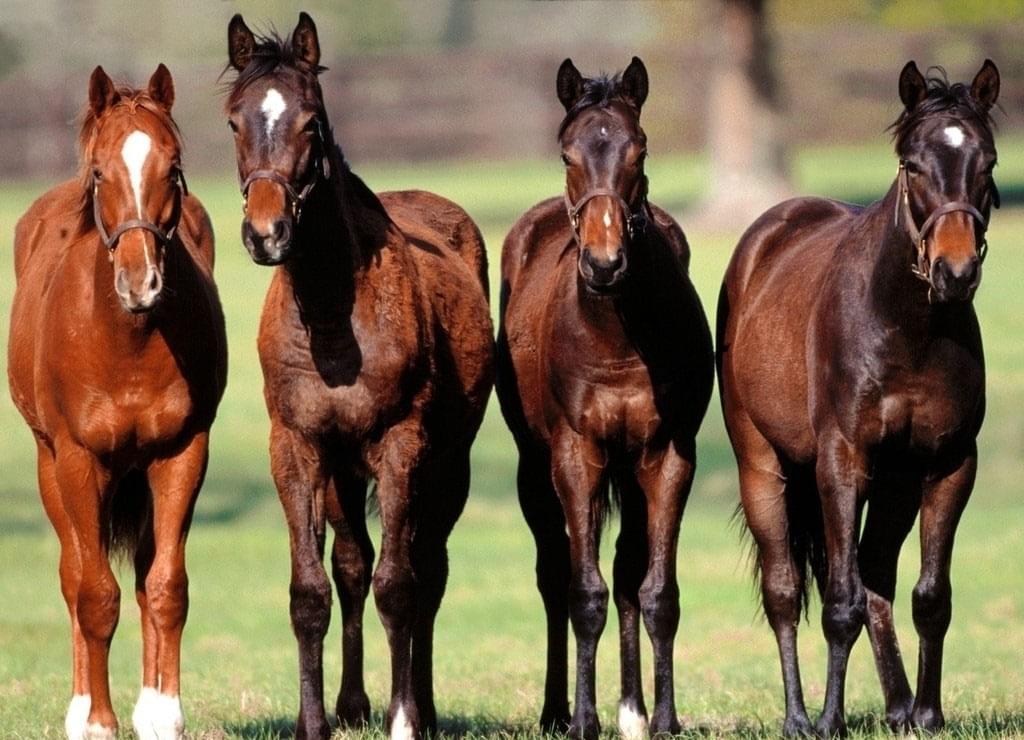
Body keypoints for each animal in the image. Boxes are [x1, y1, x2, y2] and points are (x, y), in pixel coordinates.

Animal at [8, 65, 226, 740]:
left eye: (173, 168)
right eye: (101, 172)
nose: (141, 283)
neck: (125, 340)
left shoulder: (181, 454)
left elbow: (166, 586)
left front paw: (163, 712)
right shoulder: (79, 460)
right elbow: (93, 593)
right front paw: (98, 721)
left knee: (146, 575)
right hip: (50, 466)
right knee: (74, 574)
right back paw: (81, 706)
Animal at [225, 13, 495, 740]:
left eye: (311, 122)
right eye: (234, 121)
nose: (266, 233)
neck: (331, 321)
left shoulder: (402, 447)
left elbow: (400, 586)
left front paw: (404, 719)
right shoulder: (296, 448)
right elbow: (312, 590)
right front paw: (313, 722)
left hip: (446, 466)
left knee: (427, 568)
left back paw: (420, 707)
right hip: (343, 472)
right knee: (352, 565)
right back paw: (351, 705)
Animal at [495, 57, 712, 740]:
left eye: (638, 149)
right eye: (567, 153)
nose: (605, 262)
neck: (617, 333)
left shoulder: (667, 455)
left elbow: (656, 592)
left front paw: (662, 718)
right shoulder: (576, 455)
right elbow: (581, 593)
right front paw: (583, 720)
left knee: (625, 574)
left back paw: (632, 709)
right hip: (535, 469)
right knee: (556, 573)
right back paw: (556, 709)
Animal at [716, 59, 995, 736]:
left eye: (988, 162)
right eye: (912, 165)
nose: (955, 273)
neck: (908, 327)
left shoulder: (948, 464)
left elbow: (929, 596)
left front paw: (928, 716)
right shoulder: (842, 463)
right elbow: (836, 603)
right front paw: (829, 720)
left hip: (895, 483)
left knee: (876, 577)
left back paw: (897, 707)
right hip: (763, 466)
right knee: (786, 590)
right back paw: (798, 717)